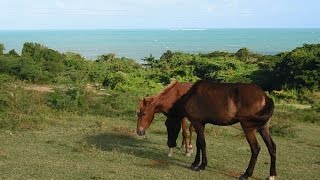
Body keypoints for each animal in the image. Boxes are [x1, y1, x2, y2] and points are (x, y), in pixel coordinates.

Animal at [139, 80, 276, 180]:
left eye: (144, 113)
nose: (170, 144)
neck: (189, 96)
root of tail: (265, 96)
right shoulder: (200, 123)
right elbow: (198, 144)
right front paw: (195, 163)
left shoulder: (197, 123)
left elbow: (202, 143)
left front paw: (202, 165)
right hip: (263, 127)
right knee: (272, 147)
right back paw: (272, 175)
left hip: (248, 128)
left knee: (255, 148)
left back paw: (246, 174)